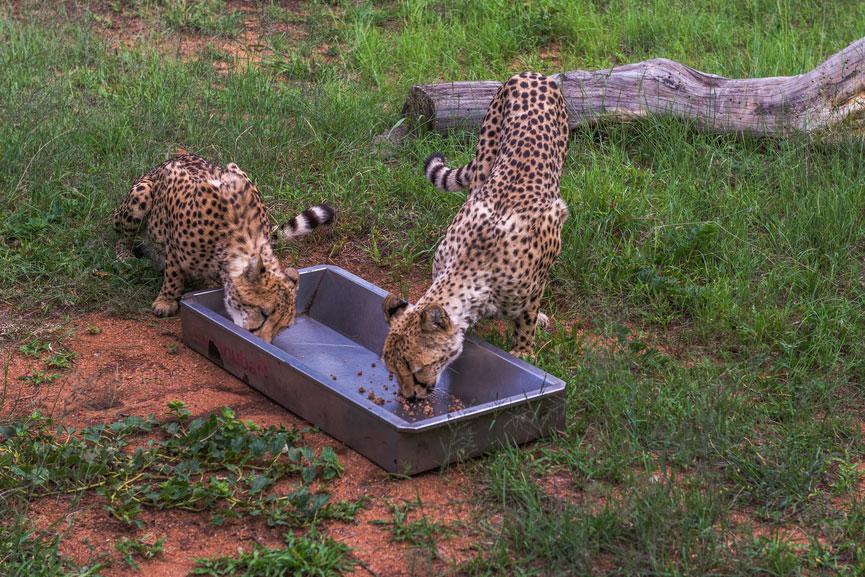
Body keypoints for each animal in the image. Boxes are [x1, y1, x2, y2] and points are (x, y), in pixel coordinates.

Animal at [113, 152, 334, 343]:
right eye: (263, 313)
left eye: (283, 327)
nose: (262, 342)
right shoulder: (174, 187)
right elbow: (174, 273)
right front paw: (166, 301)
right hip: (140, 194)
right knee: (121, 237)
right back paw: (124, 257)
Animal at [381, 71, 570, 400]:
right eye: (392, 370)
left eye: (416, 370)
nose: (410, 397)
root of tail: (532, 73)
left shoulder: (549, 237)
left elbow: (527, 318)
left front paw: (524, 352)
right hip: (484, 159)